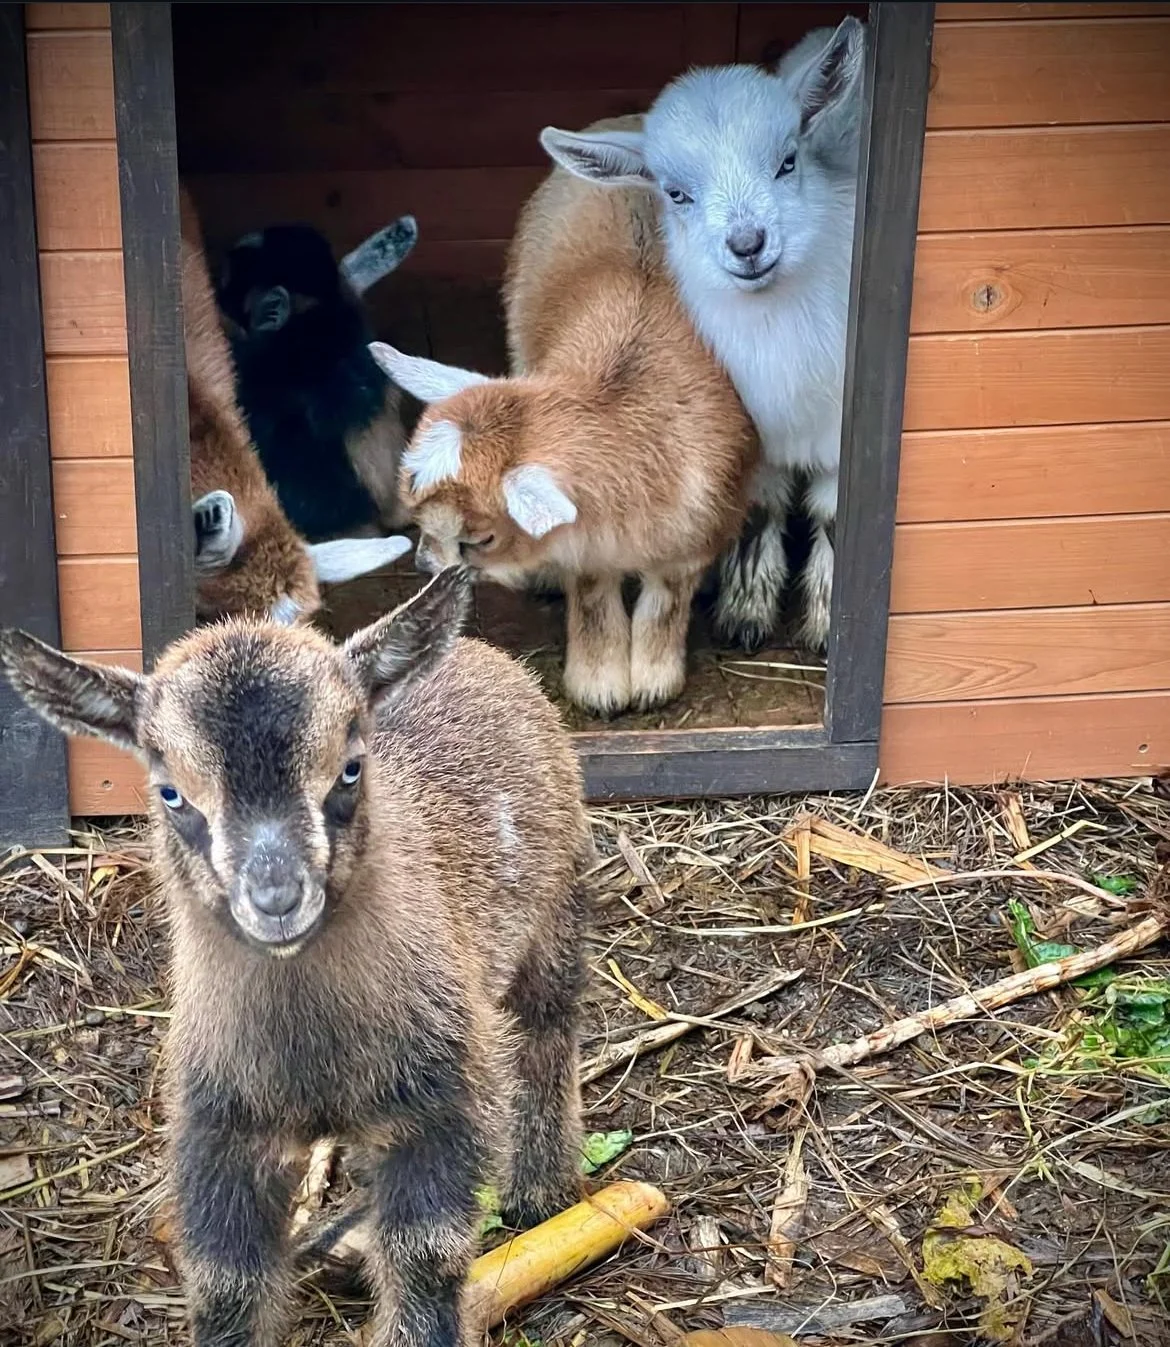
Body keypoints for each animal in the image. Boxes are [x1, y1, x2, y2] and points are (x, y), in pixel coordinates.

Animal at [0, 566, 590, 1347]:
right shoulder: (220, 1124)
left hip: (555, 912)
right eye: (170, 792)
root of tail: (478, 653)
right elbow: (226, 1283)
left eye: (349, 770)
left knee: (545, 1035)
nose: (277, 897)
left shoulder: (437, 1100)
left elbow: (426, 1256)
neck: (310, 1044)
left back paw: (538, 1187)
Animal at [369, 133, 758, 717]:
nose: (422, 566)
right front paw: (600, 683)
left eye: (481, 538)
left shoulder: (696, 532)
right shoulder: (586, 542)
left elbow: (666, 598)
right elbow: (593, 592)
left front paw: (652, 681)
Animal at [540, 17, 866, 653]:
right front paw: (746, 611)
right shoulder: (758, 430)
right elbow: (760, 509)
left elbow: (835, 516)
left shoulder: (840, 432)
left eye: (788, 161)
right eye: (675, 193)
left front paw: (824, 623)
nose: (747, 244)